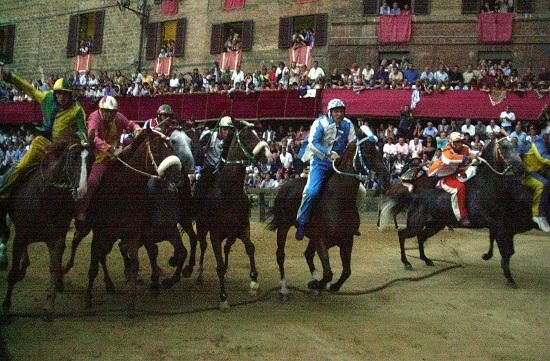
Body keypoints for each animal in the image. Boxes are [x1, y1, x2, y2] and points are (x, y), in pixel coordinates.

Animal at [0, 137, 92, 318]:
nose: (81, 190)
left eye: (90, 161)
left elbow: (54, 267)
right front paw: (6, 307)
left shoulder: (56, 239)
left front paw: (49, 306)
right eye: (73, 158)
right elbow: (13, 272)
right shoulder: (20, 235)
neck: (46, 198)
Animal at [196, 121, 272, 310]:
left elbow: (250, 247)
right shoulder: (215, 234)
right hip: (201, 227)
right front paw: (223, 297)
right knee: (202, 246)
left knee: (227, 247)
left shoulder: (243, 227)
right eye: (246, 137)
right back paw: (199, 274)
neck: (228, 192)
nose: (268, 156)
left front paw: (254, 282)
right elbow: (219, 264)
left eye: (260, 134)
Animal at [268, 126, 390, 298]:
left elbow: (346, 271)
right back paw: (284, 288)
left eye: (379, 150)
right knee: (280, 255)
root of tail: (284, 186)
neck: (338, 200)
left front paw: (329, 286)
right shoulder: (321, 241)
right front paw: (316, 284)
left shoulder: (346, 240)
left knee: (308, 255)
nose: (386, 177)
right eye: (367, 151)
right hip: (283, 227)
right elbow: (328, 273)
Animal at [380, 136, 536, 286]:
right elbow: (504, 248)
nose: (521, 168)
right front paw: (508, 277)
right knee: (402, 234)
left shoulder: (498, 223)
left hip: (434, 225)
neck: (485, 186)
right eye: (504, 147)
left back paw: (426, 259)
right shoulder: (494, 222)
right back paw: (406, 262)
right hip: (415, 224)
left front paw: (488, 257)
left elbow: (498, 242)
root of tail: (415, 196)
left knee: (420, 236)